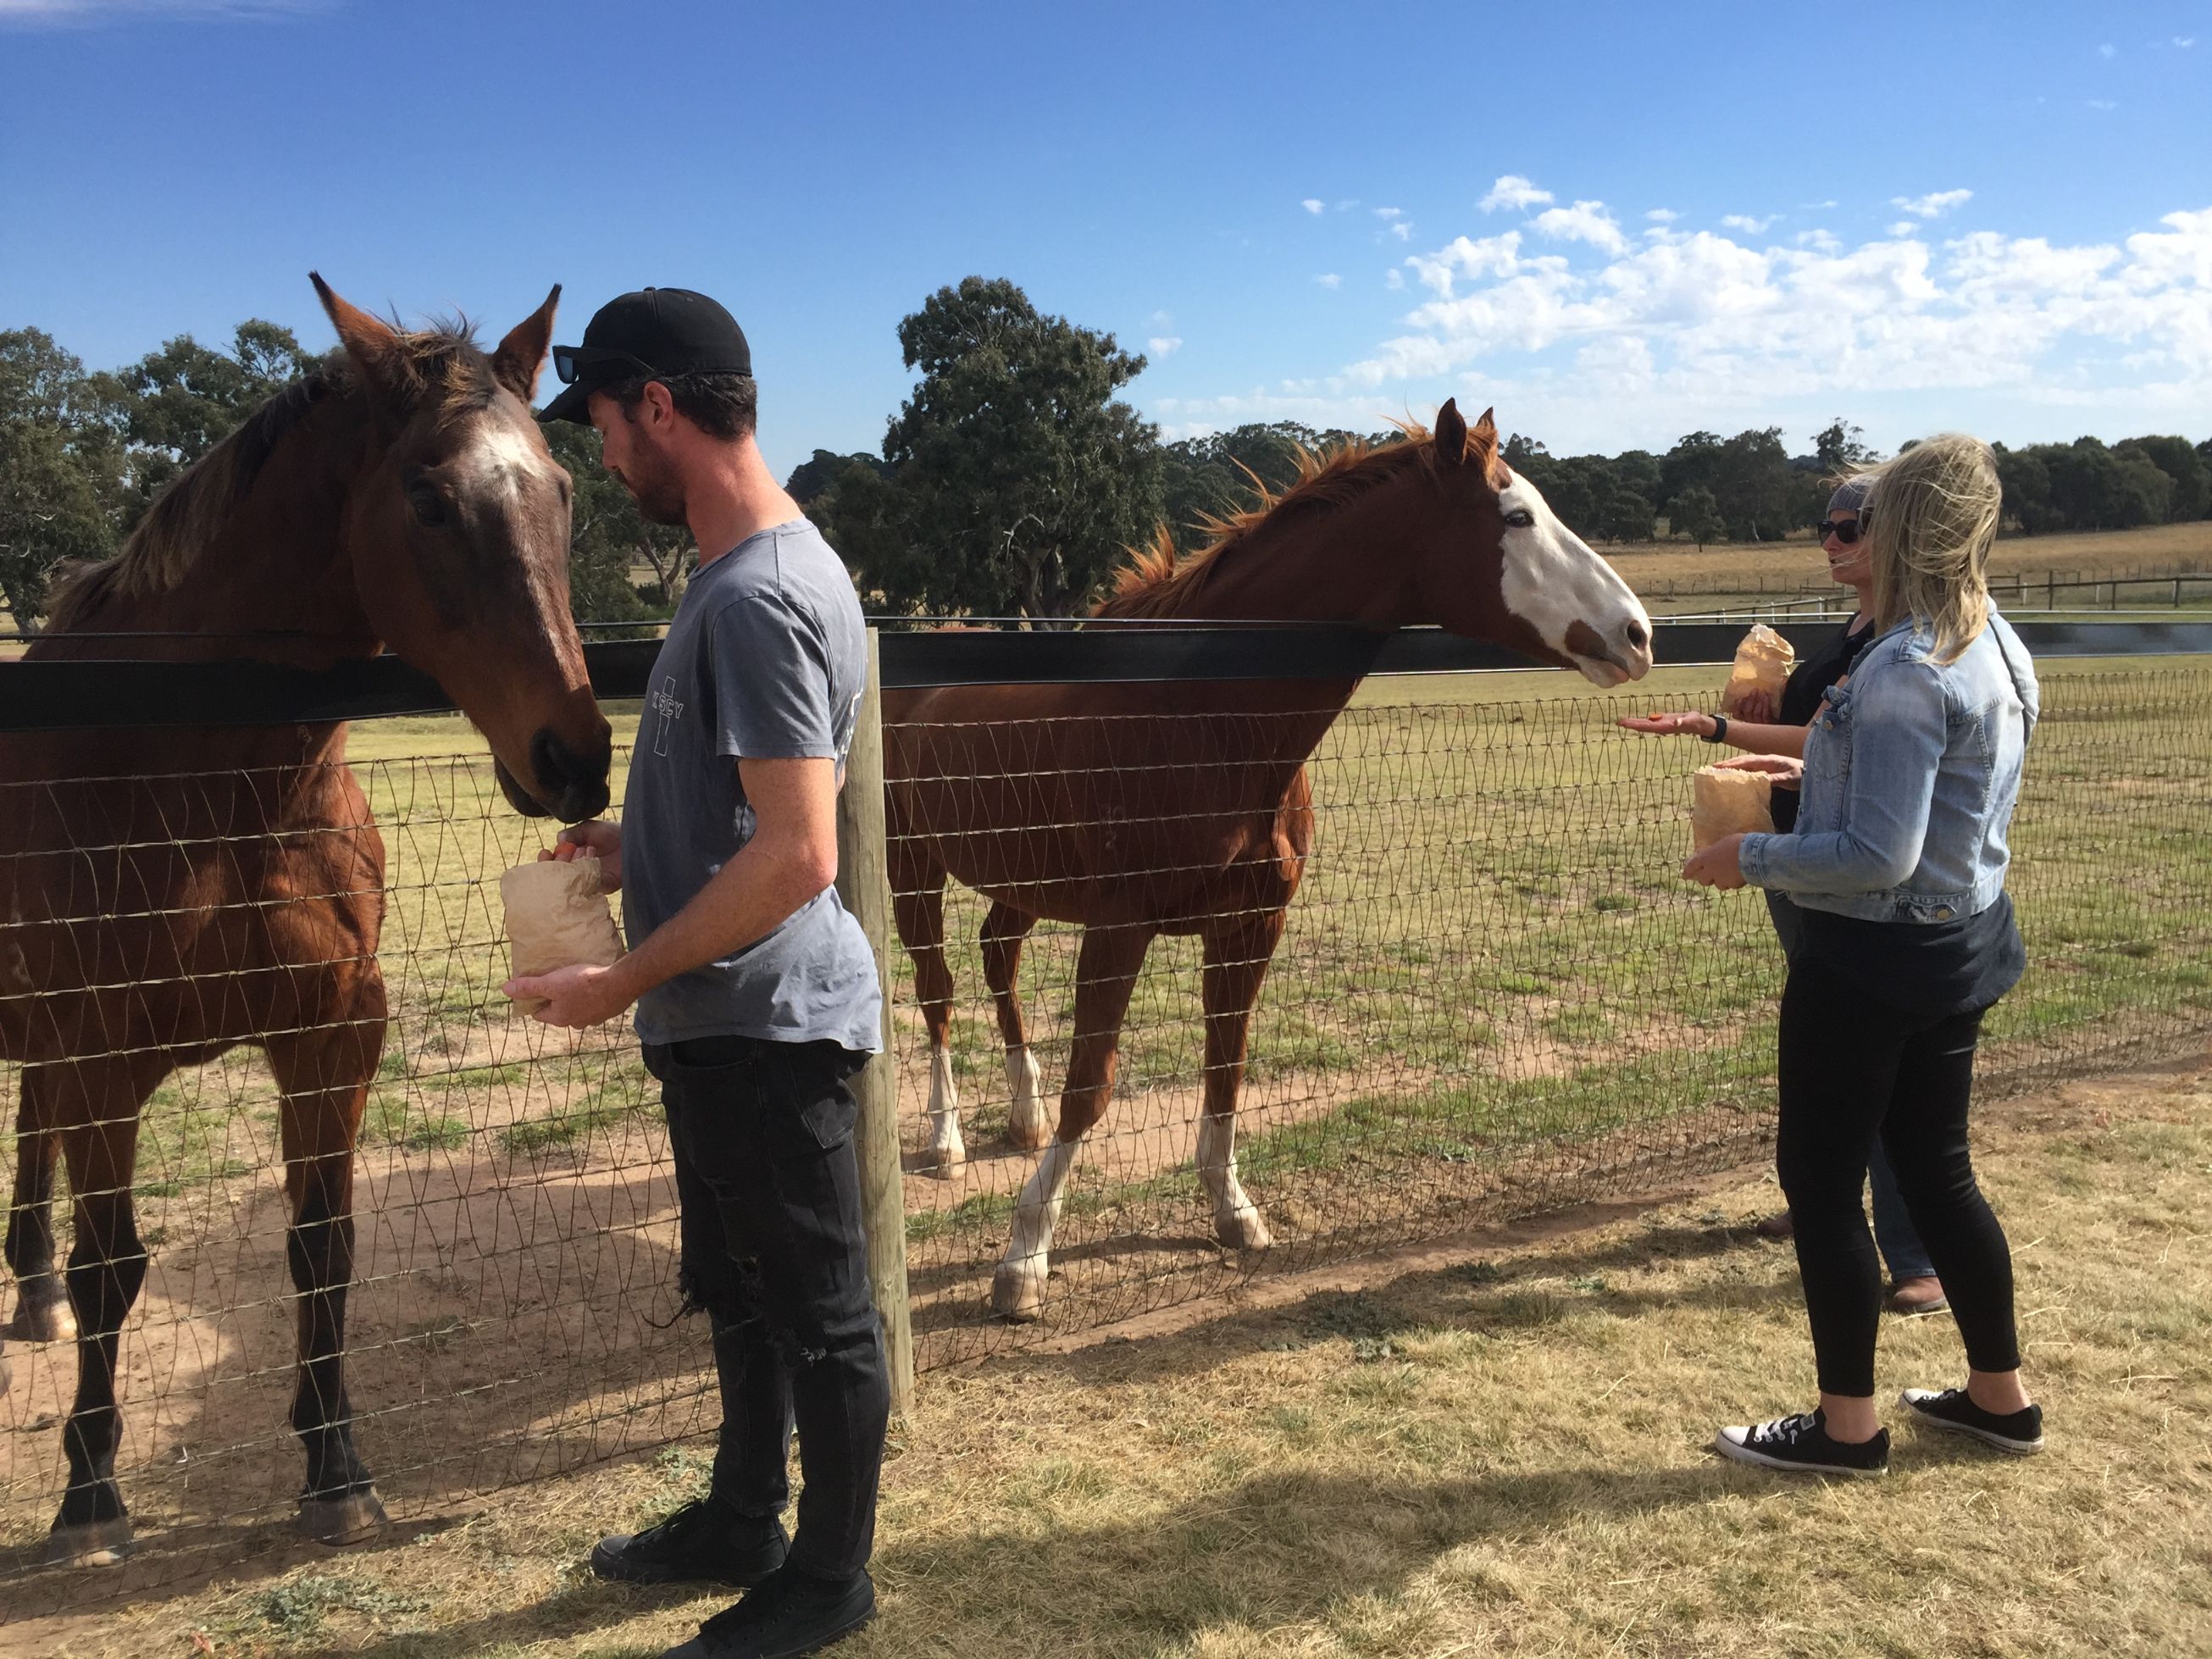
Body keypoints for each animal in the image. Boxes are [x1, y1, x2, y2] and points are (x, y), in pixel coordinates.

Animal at [0, 276, 610, 1566]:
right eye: (427, 498)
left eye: (560, 490)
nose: (575, 755)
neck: (196, 773)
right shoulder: (105, 1051)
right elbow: (115, 1264)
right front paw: (89, 1492)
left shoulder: (330, 1033)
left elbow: (320, 1247)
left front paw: (335, 1464)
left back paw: (29, 1293)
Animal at [884, 401, 1654, 1319]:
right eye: (1515, 517)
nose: (1637, 634)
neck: (1202, 719)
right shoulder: (1117, 929)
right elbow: (1092, 1083)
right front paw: (1024, 1256)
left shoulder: (1251, 926)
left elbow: (1227, 1063)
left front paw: (1232, 1208)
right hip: (912, 869)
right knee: (937, 992)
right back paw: (946, 1139)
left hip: (1020, 881)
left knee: (997, 957)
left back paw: (1021, 1113)